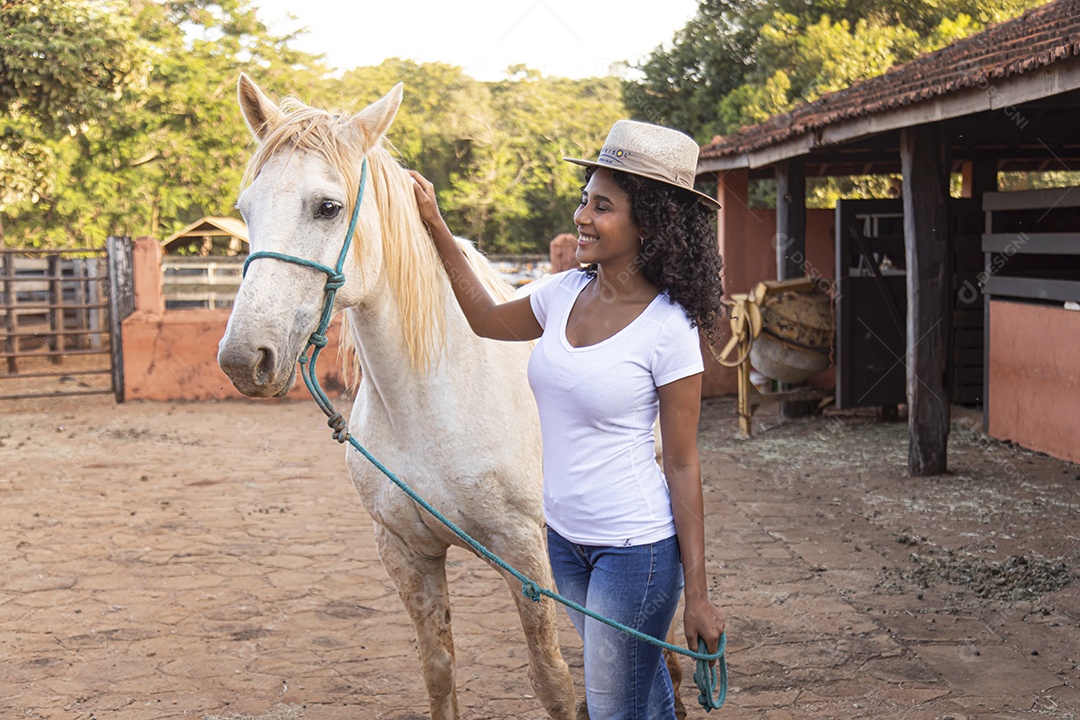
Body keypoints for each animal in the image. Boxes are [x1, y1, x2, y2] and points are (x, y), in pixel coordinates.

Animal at [213, 76, 578, 716]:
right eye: (245, 209)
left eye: (328, 206)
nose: (242, 359)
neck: (433, 404)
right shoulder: (406, 551)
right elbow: (439, 670)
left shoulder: (525, 553)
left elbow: (553, 680)